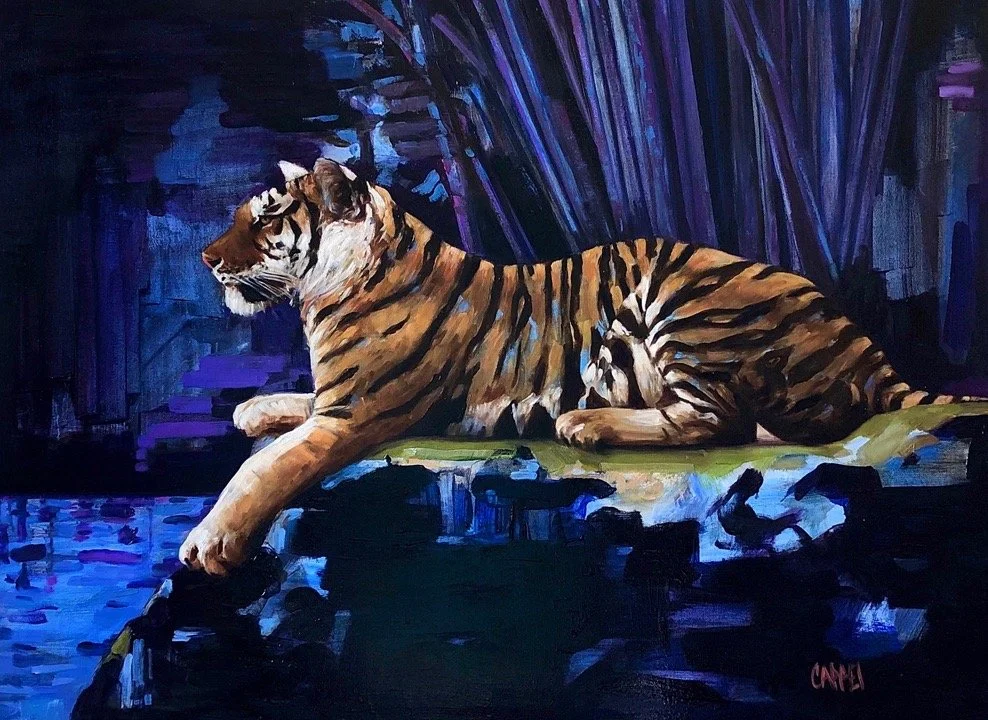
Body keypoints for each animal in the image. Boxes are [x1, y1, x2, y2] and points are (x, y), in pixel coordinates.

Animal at [179, 157, 975, 575]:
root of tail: (857, 336)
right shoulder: (333, 401)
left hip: (684, 298)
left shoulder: (354, 414)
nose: (207, 258)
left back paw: (586, 424)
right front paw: (252, 408)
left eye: (266, 218)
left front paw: (209, 544)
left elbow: (267, 465)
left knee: (721, 420)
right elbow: (289, 406)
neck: (330, 290)